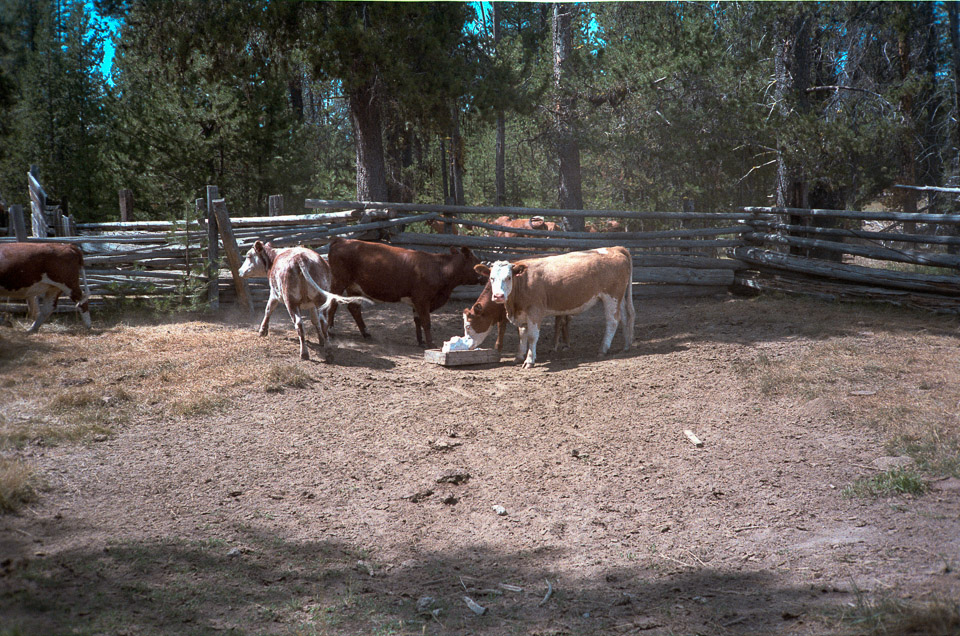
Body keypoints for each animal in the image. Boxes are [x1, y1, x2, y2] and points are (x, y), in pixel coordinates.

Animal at [240, 241, 372, 360]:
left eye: (249, 256)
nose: (240, 271)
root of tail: (300, 258)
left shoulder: (274, 294)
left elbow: (268, 309)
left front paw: (262, 331)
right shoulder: (311, 304)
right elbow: (315, 320)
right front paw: (320, 339)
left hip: (291, 302)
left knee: (299, 324)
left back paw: (304, 353)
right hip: (320, 298)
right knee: (323, 322)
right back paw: (328, 351)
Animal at [328, 237, 480, 348]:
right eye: (477, 262)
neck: (439, 268)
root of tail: (342, 240)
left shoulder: (416, 301)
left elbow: (418, 321)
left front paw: (421, 341)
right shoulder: (422, 299)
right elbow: (426, 322)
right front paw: (430, 343)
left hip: (353, 286)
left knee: (354, 308)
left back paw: (366, 333)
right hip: (338, 281)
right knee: (333, 304)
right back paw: (331, 331)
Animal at [474, 247, 636, 370]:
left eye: (508, 277)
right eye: (491, 278)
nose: (498, 296)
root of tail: (614, 248)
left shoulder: (535, 311)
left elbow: (532, 336)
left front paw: (529, 361)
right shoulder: (522, 313)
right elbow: (522, 335)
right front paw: (519, 357)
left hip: (611, 296)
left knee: (612, 321)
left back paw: (603, 349)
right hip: (619, 297)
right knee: (625, 317)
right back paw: (626, 346)